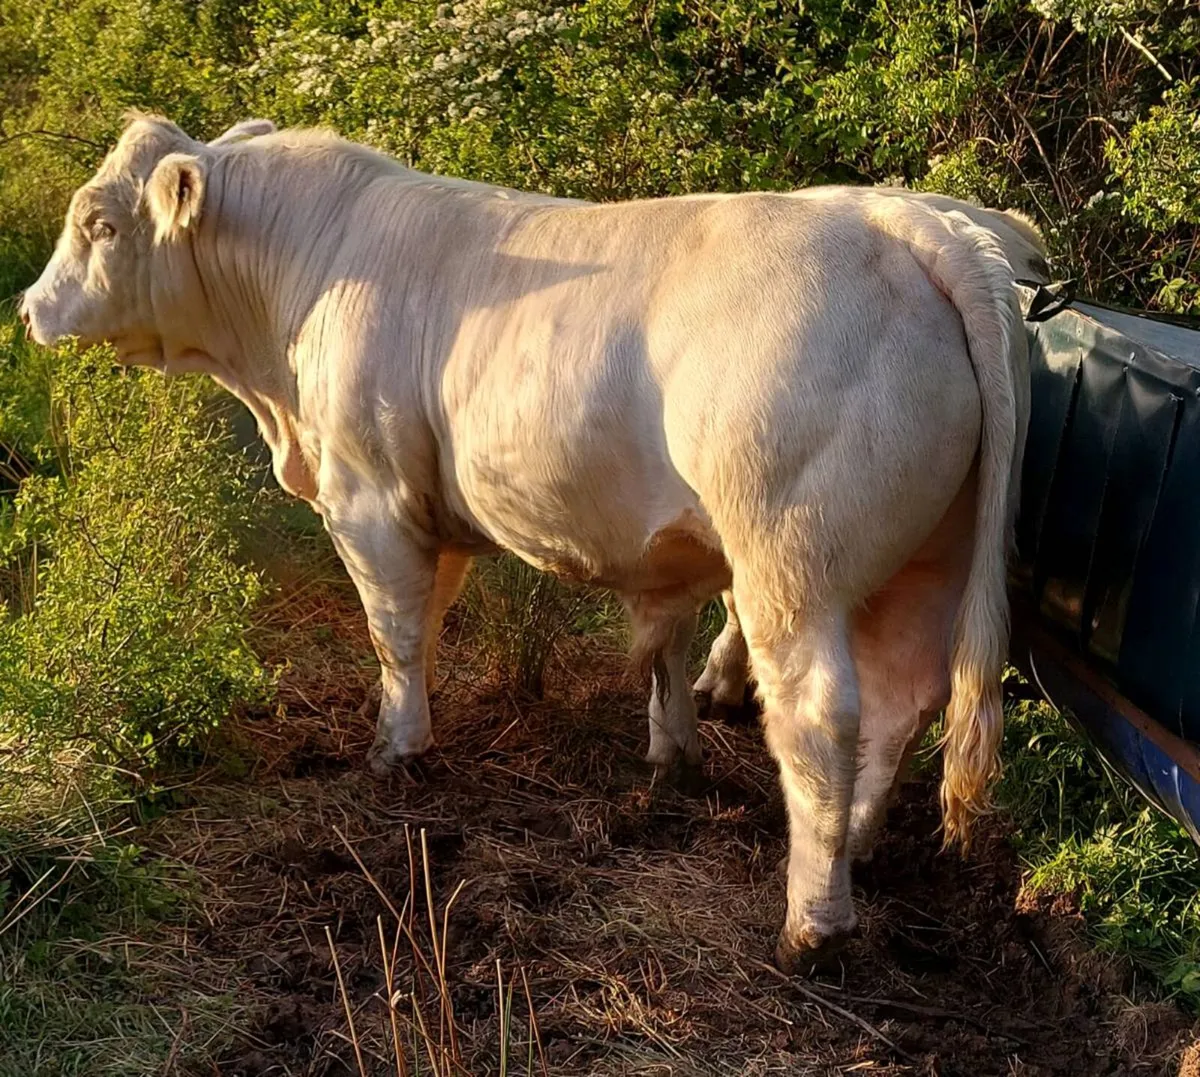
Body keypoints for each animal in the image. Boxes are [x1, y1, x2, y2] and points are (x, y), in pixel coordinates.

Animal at [21, 114, 1029, 972]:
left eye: (99, 223)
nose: (31, 307)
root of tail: (894, 216)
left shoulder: (368, 496)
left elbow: (395, 629)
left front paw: (397, 748)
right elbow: (484, 626)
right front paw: (667, 751)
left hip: (793, 563)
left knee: (822, 716)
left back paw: (812, 923)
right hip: (925, 561)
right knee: (901, 702)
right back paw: (855, 843)